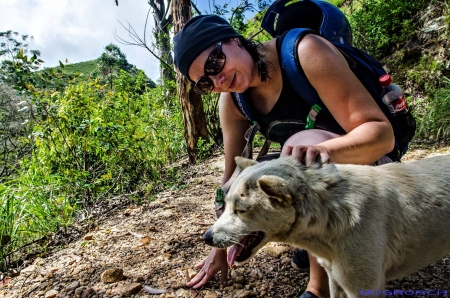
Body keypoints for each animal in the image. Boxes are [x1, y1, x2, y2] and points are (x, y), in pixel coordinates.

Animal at [203, 156, 450, 298]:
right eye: (226, 205)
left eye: (240, 210)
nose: (206, 238)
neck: (333, 214)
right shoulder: (335, 280)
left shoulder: (364, 289)